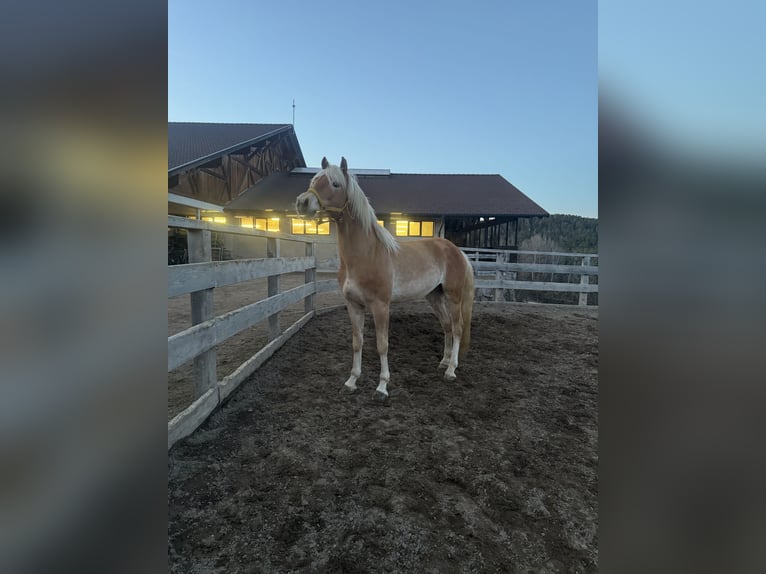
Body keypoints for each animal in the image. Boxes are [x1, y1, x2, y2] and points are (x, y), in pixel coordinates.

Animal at [298, 158, 474, 400]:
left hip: (453, 296)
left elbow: (382, 345)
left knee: (457, 328)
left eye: (335, 183)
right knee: (447, 326)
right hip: (434, 296)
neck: (366, 254)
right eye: (314, 180)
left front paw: (382, 387)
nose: (302, 202)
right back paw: (443, 362)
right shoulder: (353, 305)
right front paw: (351, 381)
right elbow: (357, 342)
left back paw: (451, 370)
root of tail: (457, 250)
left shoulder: (381, 306)